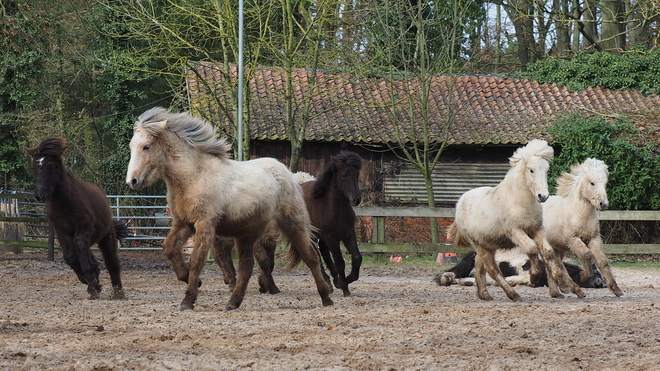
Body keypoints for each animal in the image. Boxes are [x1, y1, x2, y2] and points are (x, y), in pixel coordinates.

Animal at [25, 138, 127, 300]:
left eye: (52, 166)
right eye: (35, 167)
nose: (40, 195)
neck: (64, 203)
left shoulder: (84, 228)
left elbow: (80, 249)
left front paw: (91, 278)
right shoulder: (62, 231)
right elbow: (70, 256)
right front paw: (90, 281)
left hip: (107, 237)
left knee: (112, 264)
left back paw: (118, 292)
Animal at [125, 107, 332, 310]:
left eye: (146, 146)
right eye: (131, 147)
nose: (132, 181)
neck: (194, 176)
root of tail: (288, 174)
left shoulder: (205, 224)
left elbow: (197, 260)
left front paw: (188, 300)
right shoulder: (183, 222)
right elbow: (168, 248)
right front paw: (189, 279)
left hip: (292, 224)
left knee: (310, 257)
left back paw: (326, 296)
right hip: (247, 235)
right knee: (247, 266)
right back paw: (233, 302)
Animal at [448, 140, 584, 302]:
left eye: (546, 169)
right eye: (531, 170)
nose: (543, 196)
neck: (519, 200)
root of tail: (460, 202)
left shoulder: (537, 230)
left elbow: (548, 252)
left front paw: (562, 286)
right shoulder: (515, 232)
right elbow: (532, 249)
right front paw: (533, 277)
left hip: (487, 245)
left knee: (480, 268)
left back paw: (484, 294)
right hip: (480, 245)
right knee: (492, 270)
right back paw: (513, 294)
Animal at [540, 158, 624, 298]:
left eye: (605, 183)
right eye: (592, 183)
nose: (603, 204)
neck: (580, 214)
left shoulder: (594, 238)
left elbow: (602, 261)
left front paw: (616, 290)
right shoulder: (573, 239)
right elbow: (586, 255)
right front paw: (584, 276)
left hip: (558, 248)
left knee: (553, 266)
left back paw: (558, 292)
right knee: (558, 266)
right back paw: (575, 290)